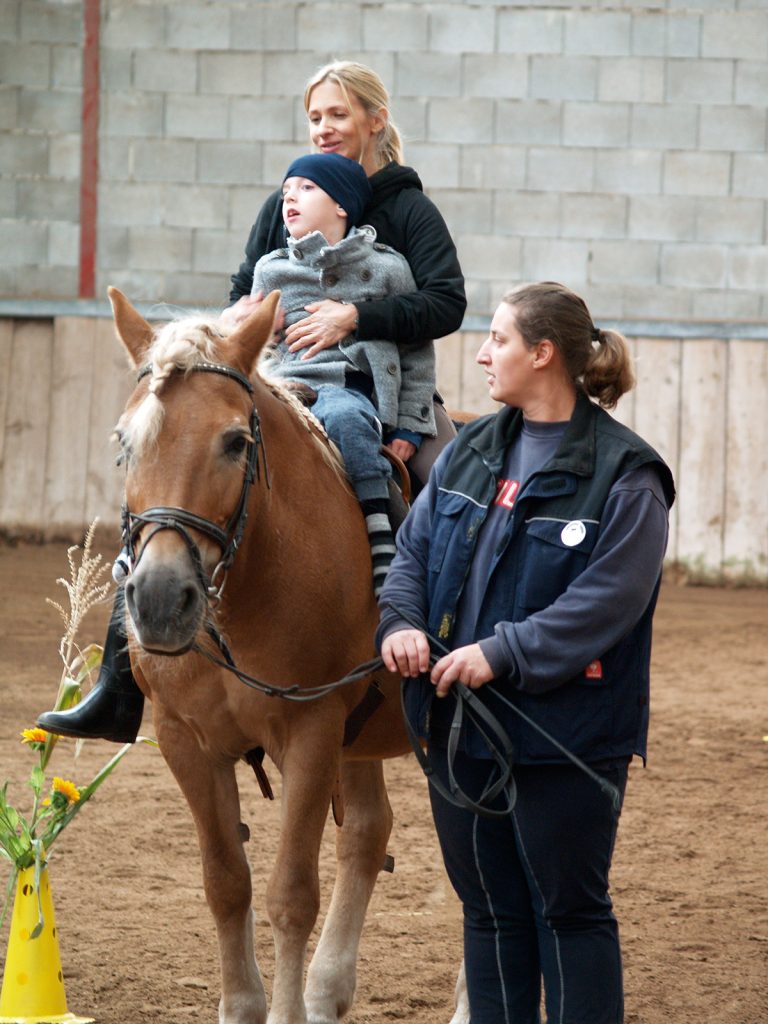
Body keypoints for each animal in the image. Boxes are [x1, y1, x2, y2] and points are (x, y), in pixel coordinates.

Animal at [105, 288, 473, 1024]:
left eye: (235, 441)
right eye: (126, 441)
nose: (158, 599)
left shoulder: (311, 731)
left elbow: (291, 895)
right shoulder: (185, 740)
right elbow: (226, 883)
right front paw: (246, 1006)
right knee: (367, 833)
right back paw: (328, 991)